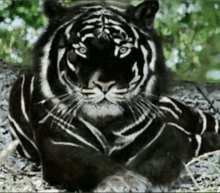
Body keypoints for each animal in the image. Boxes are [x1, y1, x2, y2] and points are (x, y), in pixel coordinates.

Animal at [7, 0, 219, 191]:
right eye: (82, 49)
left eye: (123, 50)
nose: (105, 84)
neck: (108, 124)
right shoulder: (60, 143)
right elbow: (91, 163)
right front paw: (122, 181)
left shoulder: (163, 135)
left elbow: (158, 160)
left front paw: (147, 183)